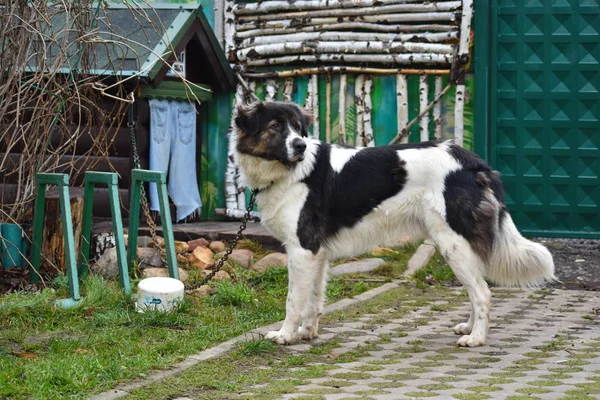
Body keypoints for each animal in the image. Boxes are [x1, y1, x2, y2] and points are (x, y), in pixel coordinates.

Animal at [232, 100, 556, 346]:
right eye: (276, 127)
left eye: (297, 129)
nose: (299, 145)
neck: (288, 171)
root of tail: (469, 160)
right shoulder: (316, 253)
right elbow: (313, 298)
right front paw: (307, 333)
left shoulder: (301, 249)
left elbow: (292, 301)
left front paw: (285, 335)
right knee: (476, 287)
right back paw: (468, 327)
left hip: (452, 242)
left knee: (483, 292)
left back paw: (476, 338)